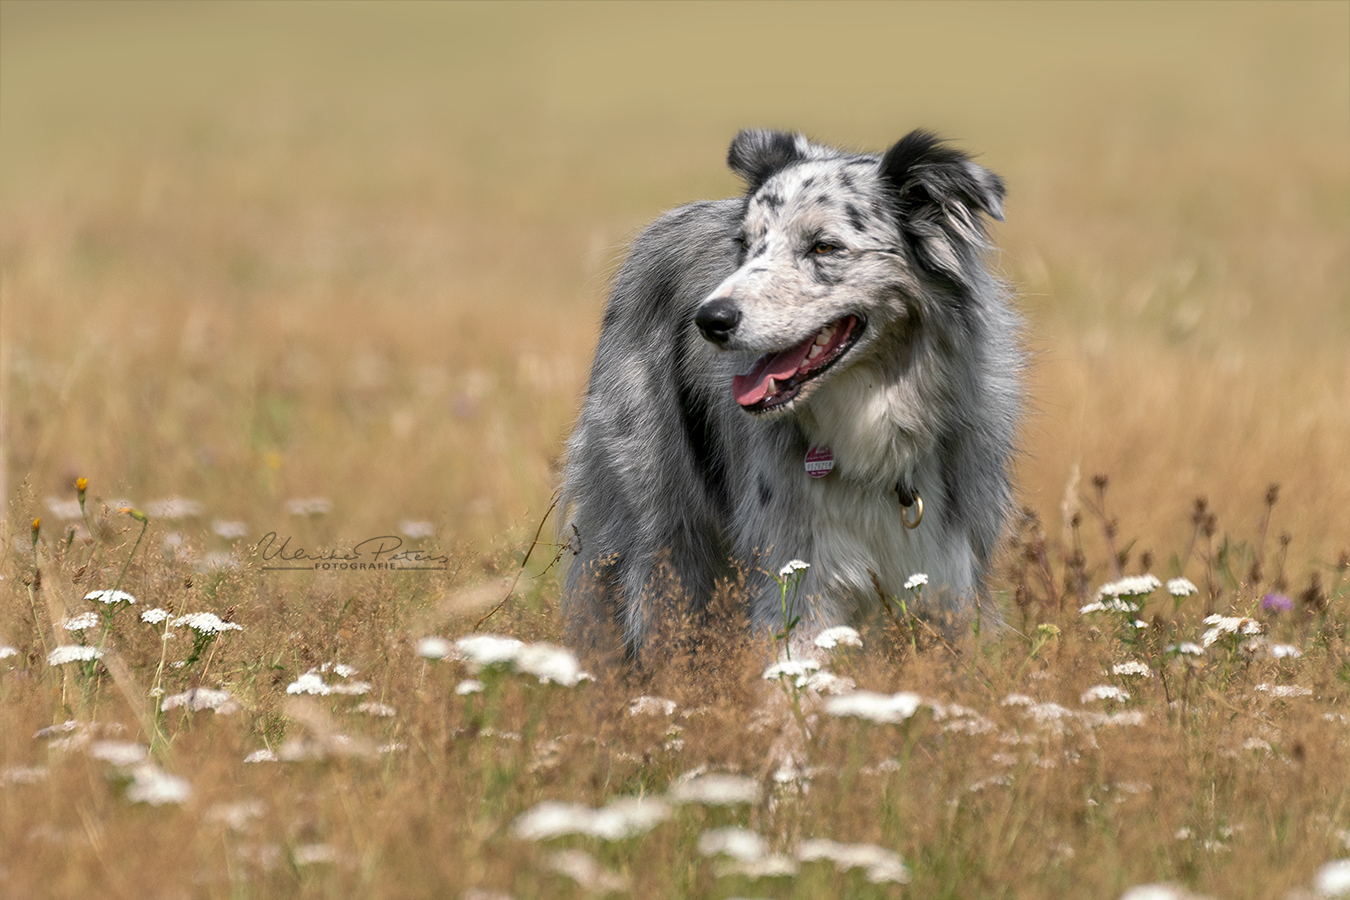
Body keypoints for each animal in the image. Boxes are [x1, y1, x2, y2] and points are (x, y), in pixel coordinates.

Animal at [561, 130, 1020, 658]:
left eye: (824, 246)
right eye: (744, 245)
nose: (709, 320)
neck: (874, 419)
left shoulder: (950, 578)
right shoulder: (798, 573)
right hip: (658, 526)